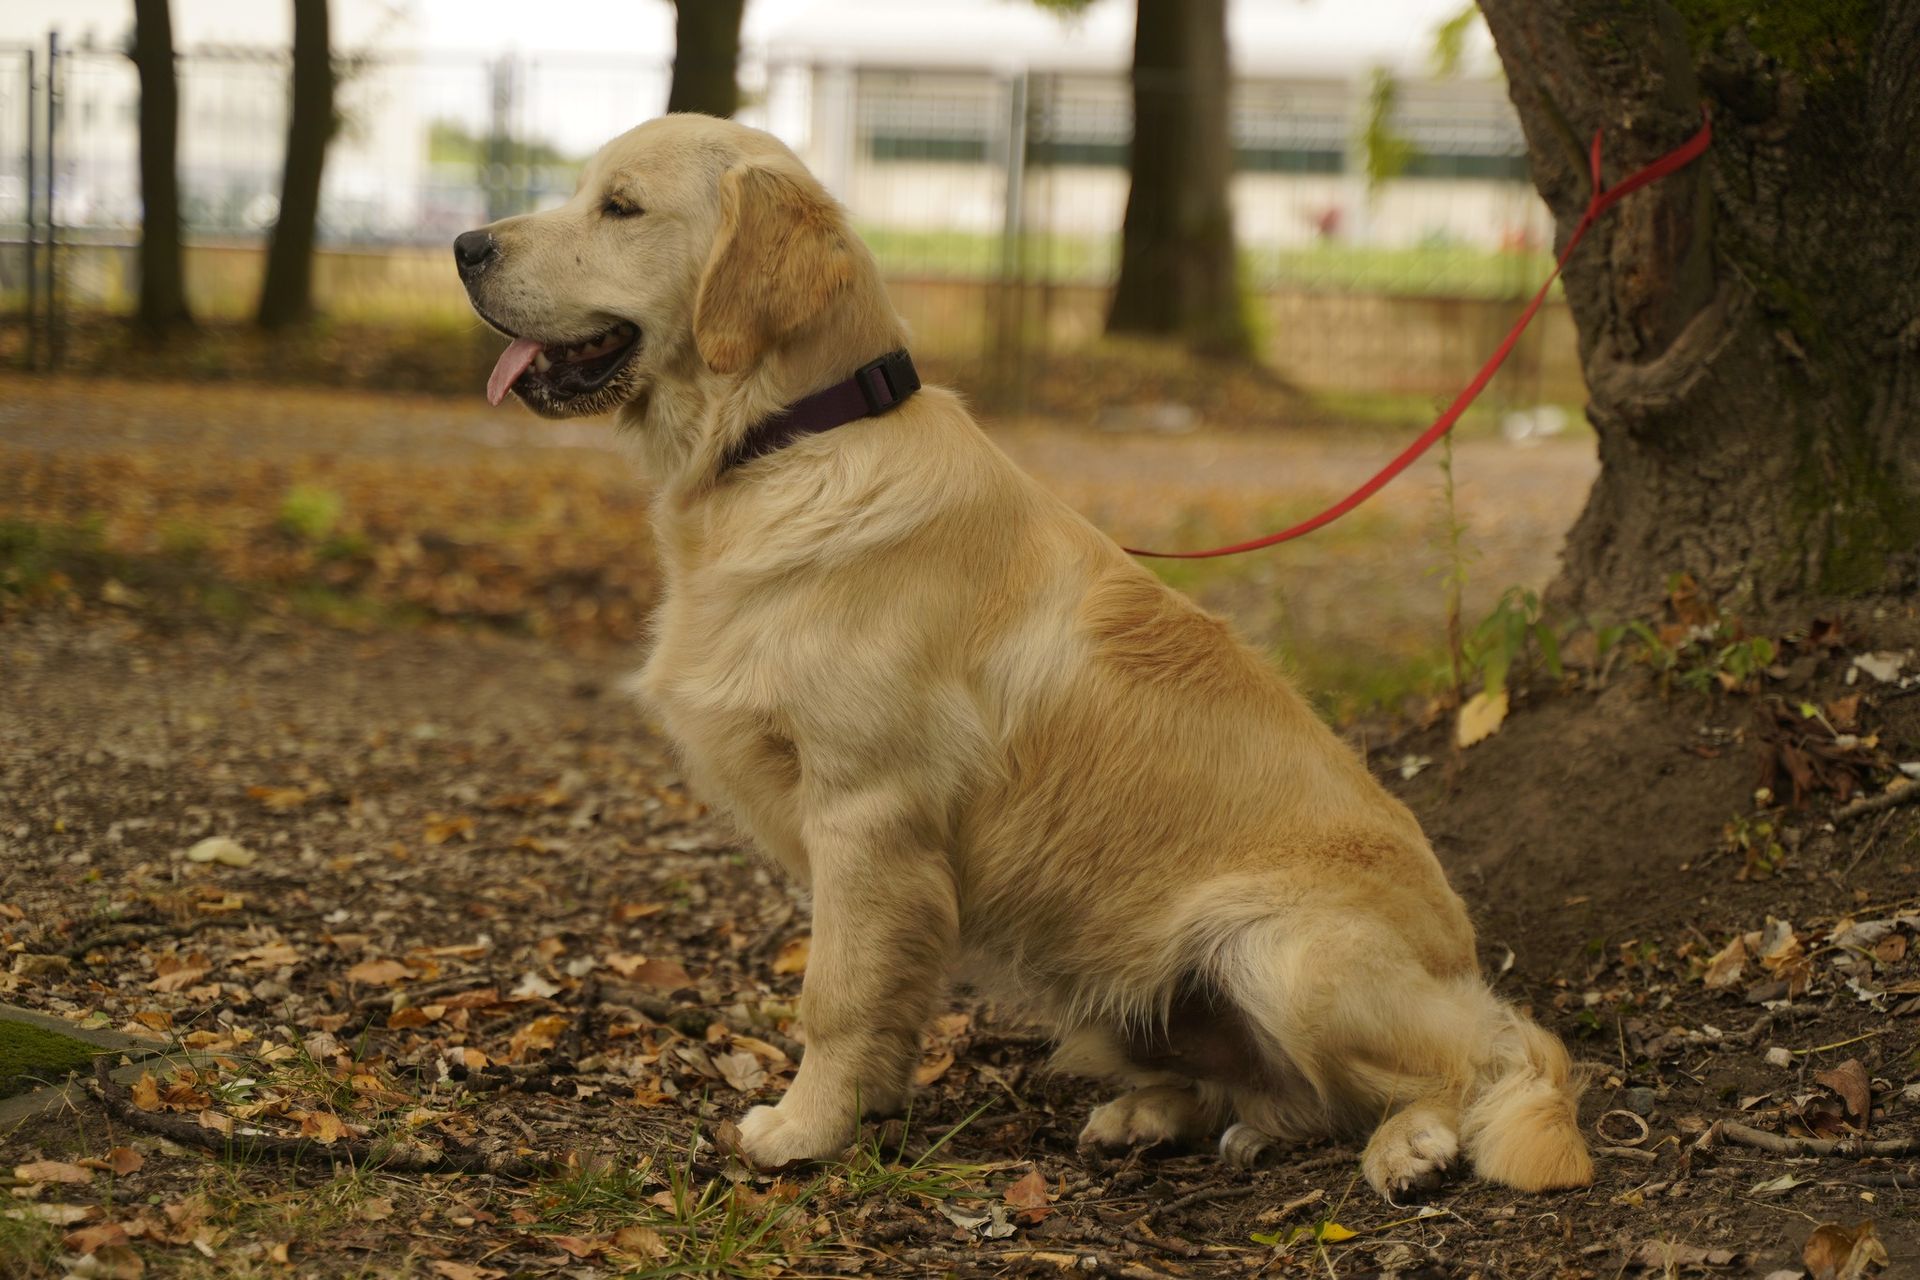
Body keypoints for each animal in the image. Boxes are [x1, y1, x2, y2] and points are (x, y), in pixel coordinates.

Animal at [454, 113, 1592, 1201]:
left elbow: (835, 992)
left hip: (1285, 950)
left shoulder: (867, 810)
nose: (465, 245)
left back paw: (1412, 1145)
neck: (788, 440)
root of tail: (1464, 962)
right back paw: (1159, 1116)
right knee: (1290, 1096)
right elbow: (877, 996)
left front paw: (804, 1130)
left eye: (620, 206)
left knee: (1476, 1063)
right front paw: (862, 1110)